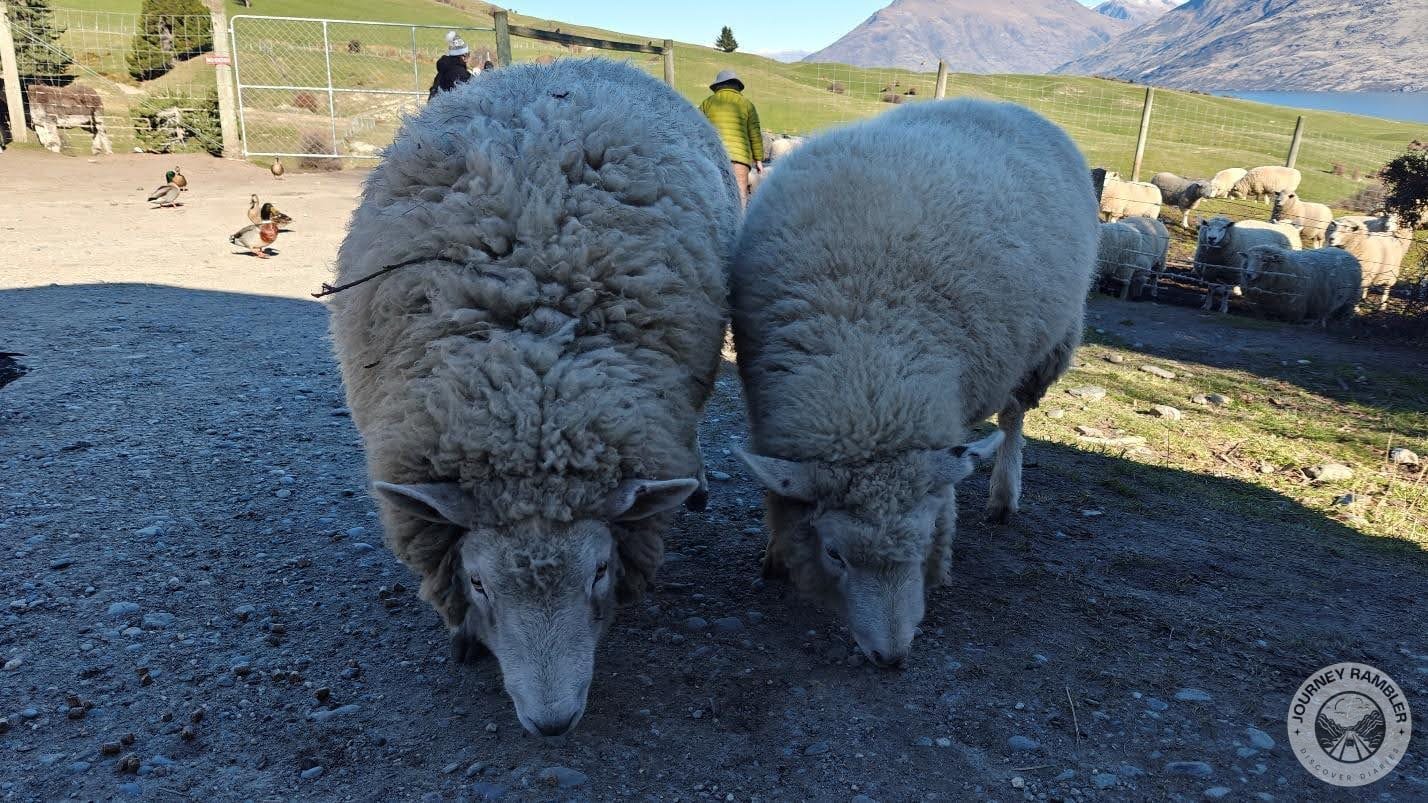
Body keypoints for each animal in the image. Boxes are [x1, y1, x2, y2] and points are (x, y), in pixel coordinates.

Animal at [729, 99, 1097, 667]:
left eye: (924, 546)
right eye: (835, 553)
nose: (892, 657)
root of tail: (1002, 103)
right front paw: (774, 552)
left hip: (1045, 348)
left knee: (1014, 418)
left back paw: (1003, 495)